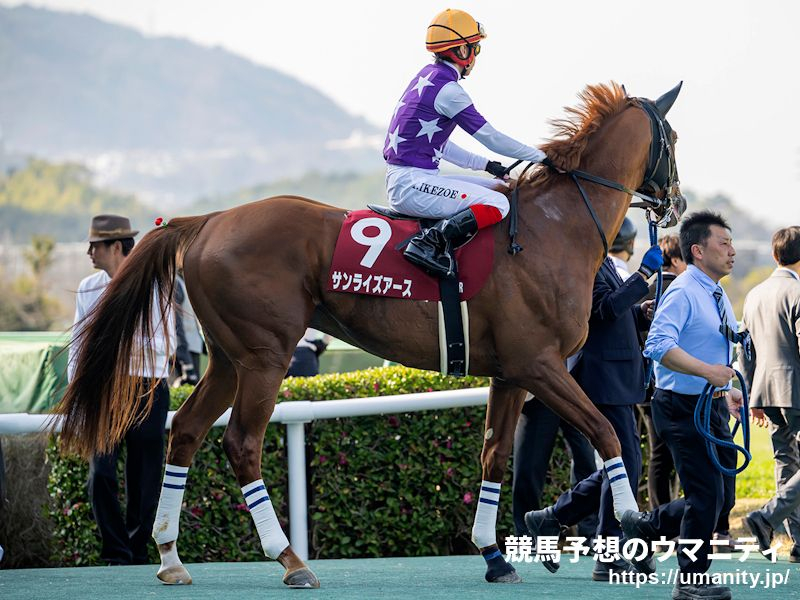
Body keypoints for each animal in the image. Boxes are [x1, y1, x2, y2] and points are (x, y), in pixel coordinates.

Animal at [56, 81, 685, 588]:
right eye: (673, 138)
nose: (676, 202)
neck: (554, 229)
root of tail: (208, 221)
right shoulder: (540, 364)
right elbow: (606, 431)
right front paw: (633, 517)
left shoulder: (511, 372)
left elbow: (493, 456)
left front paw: (494, 555)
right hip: (266, 356)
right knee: (242, 443)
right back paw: (290, 560)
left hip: (228, 359)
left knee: (185, 431)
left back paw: (170, 557)